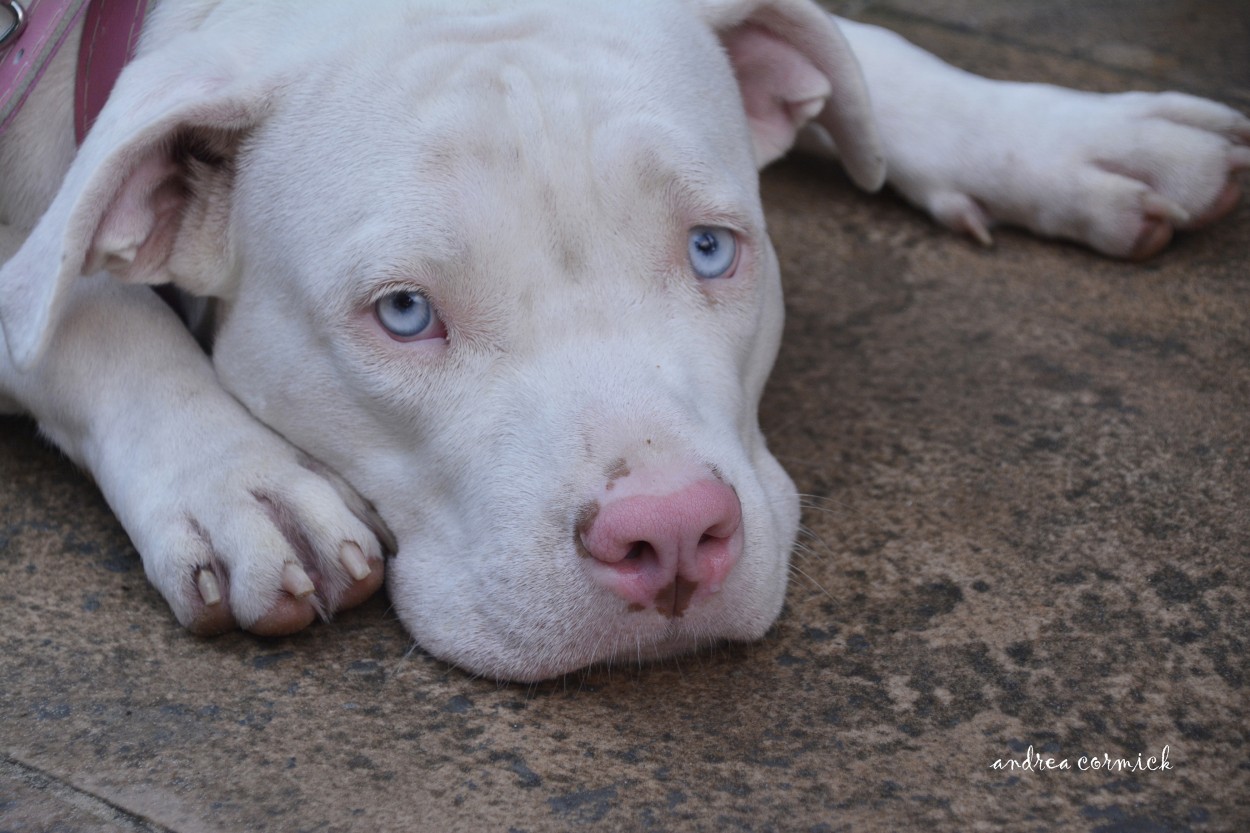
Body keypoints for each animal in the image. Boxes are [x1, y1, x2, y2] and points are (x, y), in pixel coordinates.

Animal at [2, 0, 1250, 675]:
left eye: (710, 249)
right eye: (403, 313)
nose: (672, 533)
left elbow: (861, 52)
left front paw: (1065, 137)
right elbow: (71, 305)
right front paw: (239, 481)